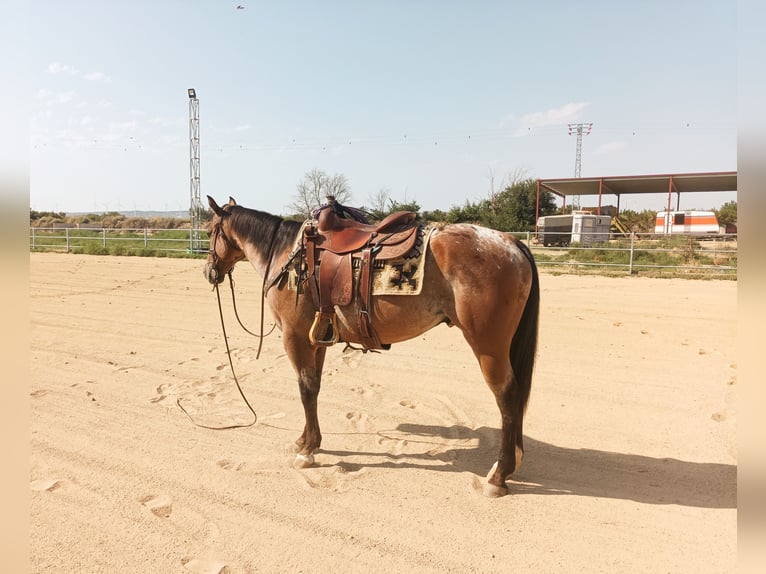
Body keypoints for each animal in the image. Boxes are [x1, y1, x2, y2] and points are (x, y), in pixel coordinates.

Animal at [204, 196, 540, 498]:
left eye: (208, 230)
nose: (209, 271)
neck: (289, 255)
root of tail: (512, 243)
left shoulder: (295, 337)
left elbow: (304, 389)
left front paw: (307, 451)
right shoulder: (318, 338)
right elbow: (314, 389)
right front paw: (306, 441)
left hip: (489, 347)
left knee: (507, 396)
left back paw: (498, 476)